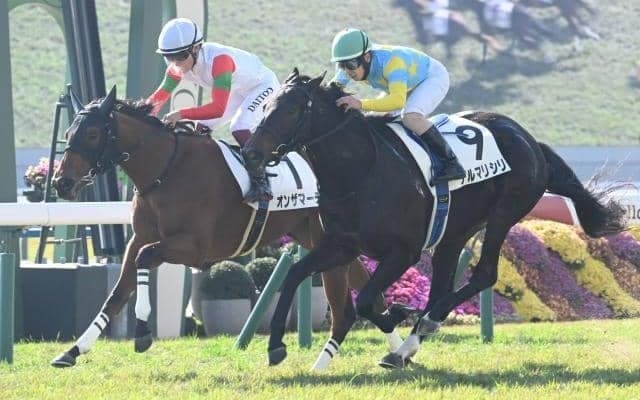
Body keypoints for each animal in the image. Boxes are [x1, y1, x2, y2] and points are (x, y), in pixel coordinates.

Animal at [49, 86, 406, 370]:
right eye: (68, 135)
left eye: (93, 134)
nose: (61, 183)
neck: (167, 169)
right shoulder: (139, 238)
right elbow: (117, 293)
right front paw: (72, 351)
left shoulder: (193, 248)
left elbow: (144, 260)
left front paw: (142, 333)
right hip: (325, 240)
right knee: (367, 290)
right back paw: (398, 352)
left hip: (330, 242)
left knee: (349, 302)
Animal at [241, 68, 627, 368]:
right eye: (266, 105)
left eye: (292, 109)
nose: (251, 153)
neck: (361, 169)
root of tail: (531, 141)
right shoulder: (341, 245)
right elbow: (294, 274)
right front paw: (275, 345)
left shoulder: (403, 252)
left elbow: (365, 300)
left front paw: (397, 312)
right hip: (455, 232)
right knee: (442, 283)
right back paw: (407, 346)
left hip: (503, 214)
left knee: (483, 274)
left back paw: (422, 329)